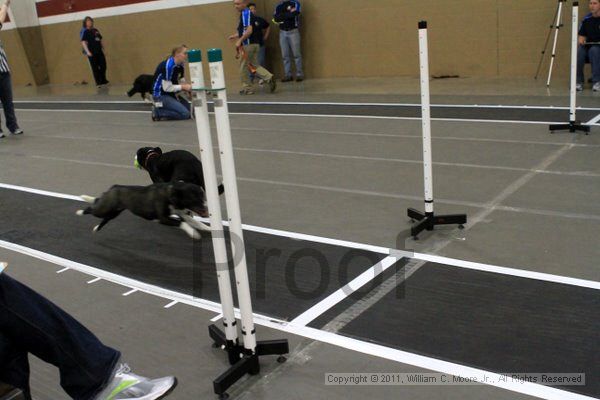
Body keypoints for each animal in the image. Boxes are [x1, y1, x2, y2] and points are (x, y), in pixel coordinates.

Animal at [76, 182, 210, 241]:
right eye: (194, 200)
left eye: (203, 196)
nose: (206, 209)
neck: (171, 193)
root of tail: (112, 188)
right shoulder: (163, 219)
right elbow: (183, 223)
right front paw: (194, 233)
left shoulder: (181, 213)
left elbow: (194, 222)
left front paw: (207, 228)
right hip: (104, 209)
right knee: (91, 209)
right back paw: (80, 211)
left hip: (114, 213)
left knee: (105, 219)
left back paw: (96, 228)